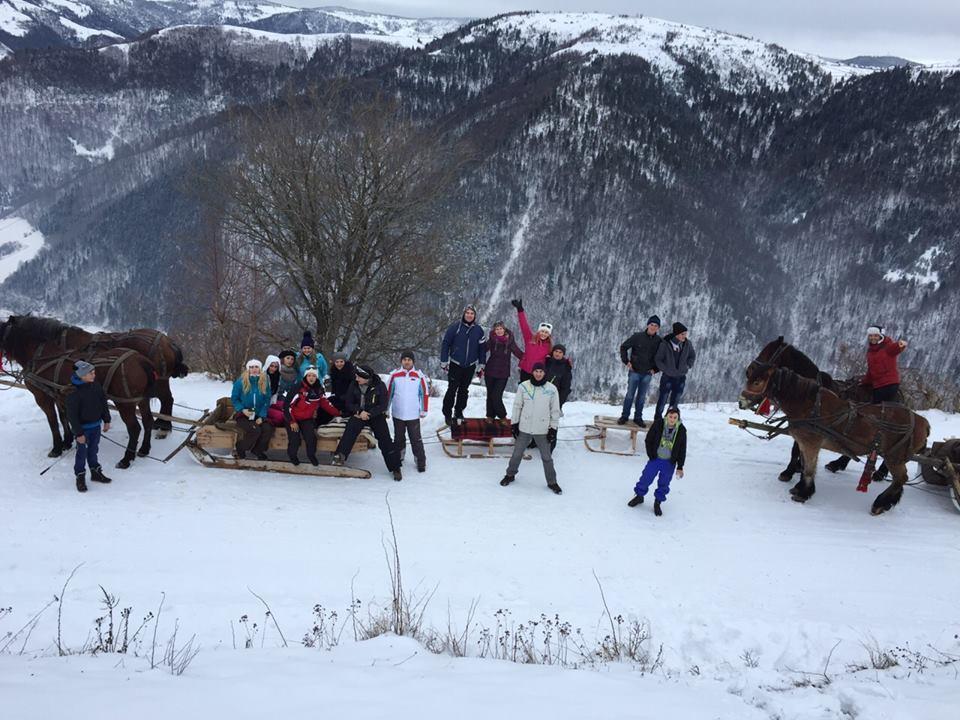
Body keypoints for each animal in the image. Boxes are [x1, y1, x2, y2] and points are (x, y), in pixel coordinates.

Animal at [0, 316, 158, 466]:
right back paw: (144, 449)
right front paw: (67, 442)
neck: (42, 357)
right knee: (147, 420)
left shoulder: (43, 397)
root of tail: (140, 360)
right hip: (142, 400)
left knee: (134, 428)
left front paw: (56, 448)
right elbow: (63, 418)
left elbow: (53, 422)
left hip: (124, 404)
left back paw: (126, 459)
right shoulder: (60, 396)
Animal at [740, 366, 928, 512]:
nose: (741, 401)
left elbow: (809, 468)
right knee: (899, 480)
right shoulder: (803, 443)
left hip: (894, 457)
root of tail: (923, 423)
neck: (810, 406)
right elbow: (805, 464)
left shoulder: (811, 443)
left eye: (757, 382)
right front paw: (799, 487)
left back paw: (881, 503)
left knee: (901, 479)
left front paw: (803, 493)